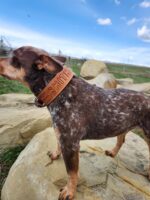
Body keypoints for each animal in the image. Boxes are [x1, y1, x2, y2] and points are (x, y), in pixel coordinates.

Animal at [0, 45, 150, 200]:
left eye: (14, 58)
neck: (59, 91)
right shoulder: (62, 136)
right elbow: (58, 146)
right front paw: (55, 154)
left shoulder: (71, 145)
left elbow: (72, 172)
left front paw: (70, 191)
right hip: (122, 126)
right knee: (121, 140)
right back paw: (113, 152)